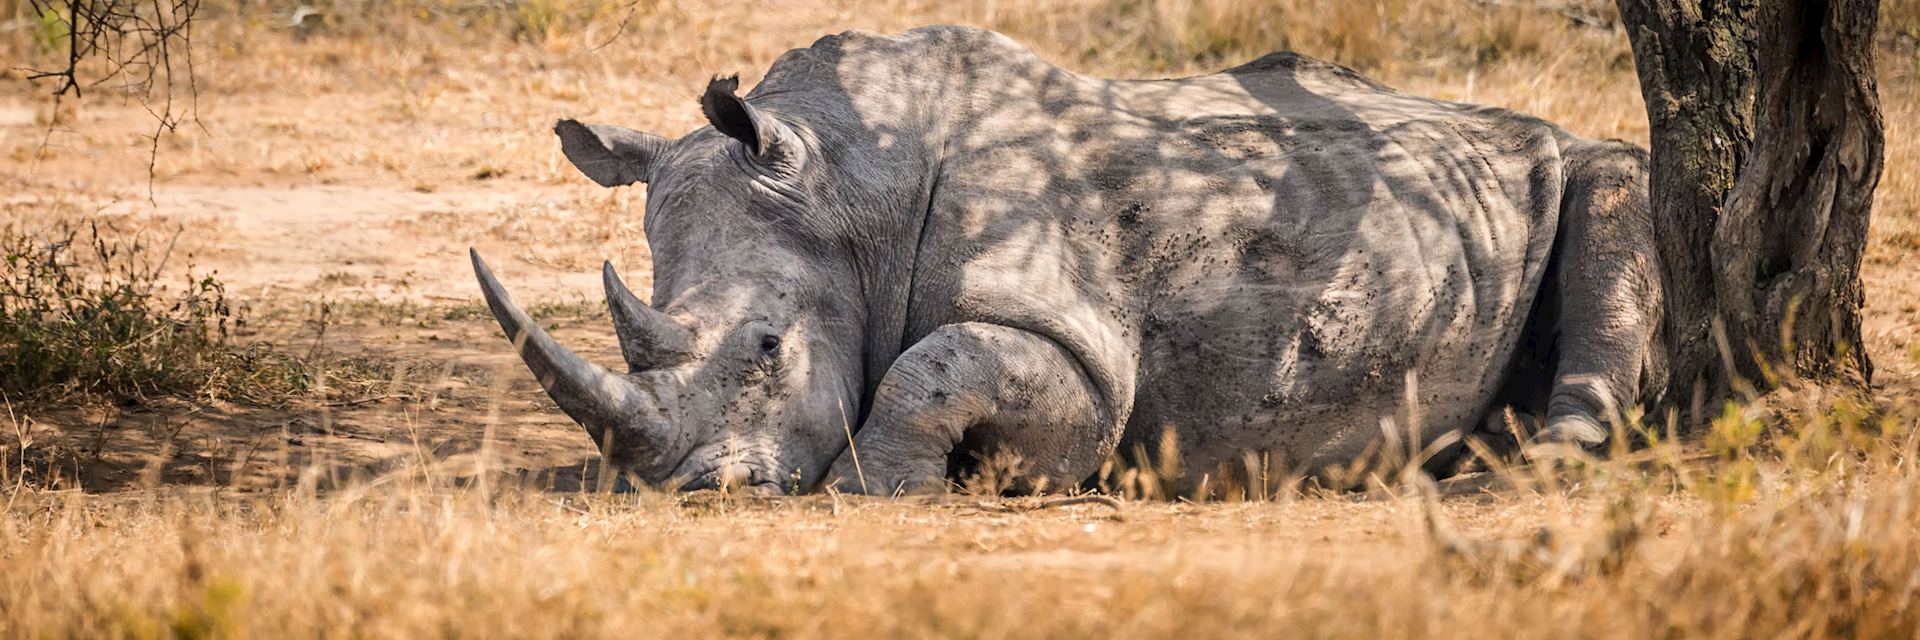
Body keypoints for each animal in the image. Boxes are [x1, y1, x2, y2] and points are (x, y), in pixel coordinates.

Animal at [468, 24, 1666, 492]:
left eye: (766, 346)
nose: (695, 488)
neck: (851, 186)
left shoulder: (1080, 347)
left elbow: (938, 367)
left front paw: (877, 485)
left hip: (1571, 157)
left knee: (1614, 183)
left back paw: (1539, 462)